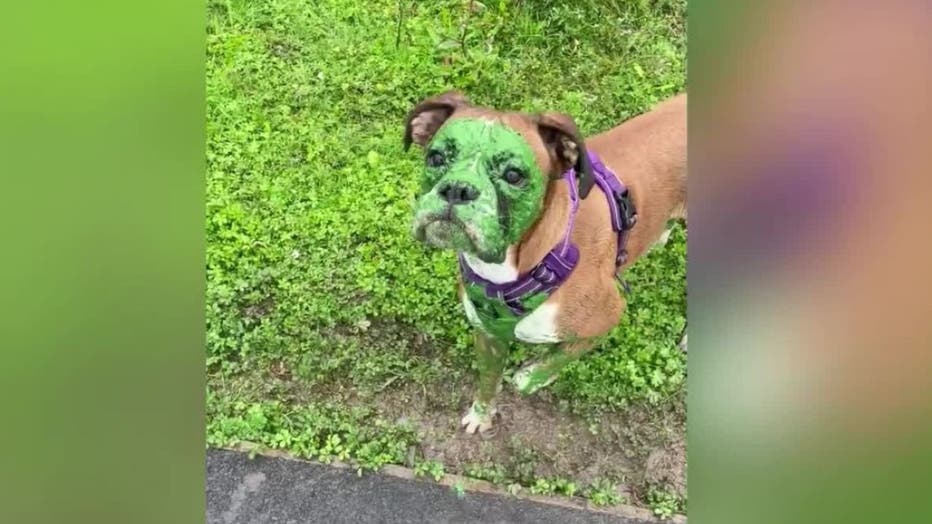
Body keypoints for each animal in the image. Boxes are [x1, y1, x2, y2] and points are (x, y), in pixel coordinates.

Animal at [402, 91, 684, 434]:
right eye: (436, 158)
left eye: (514, 175)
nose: (458, 189)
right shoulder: (487, 336)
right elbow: (488, 381)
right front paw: (482, 414)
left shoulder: (608, 317)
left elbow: (551, 361)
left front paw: (533, 375)